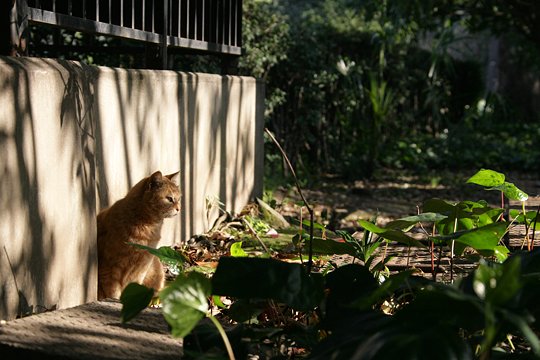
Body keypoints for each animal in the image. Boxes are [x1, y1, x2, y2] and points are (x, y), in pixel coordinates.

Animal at [97, 170, 181, 300]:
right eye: (169, 198)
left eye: (179, 198)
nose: (179, 209)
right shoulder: (109, 268)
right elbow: (113, 292)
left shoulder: (141, 267)